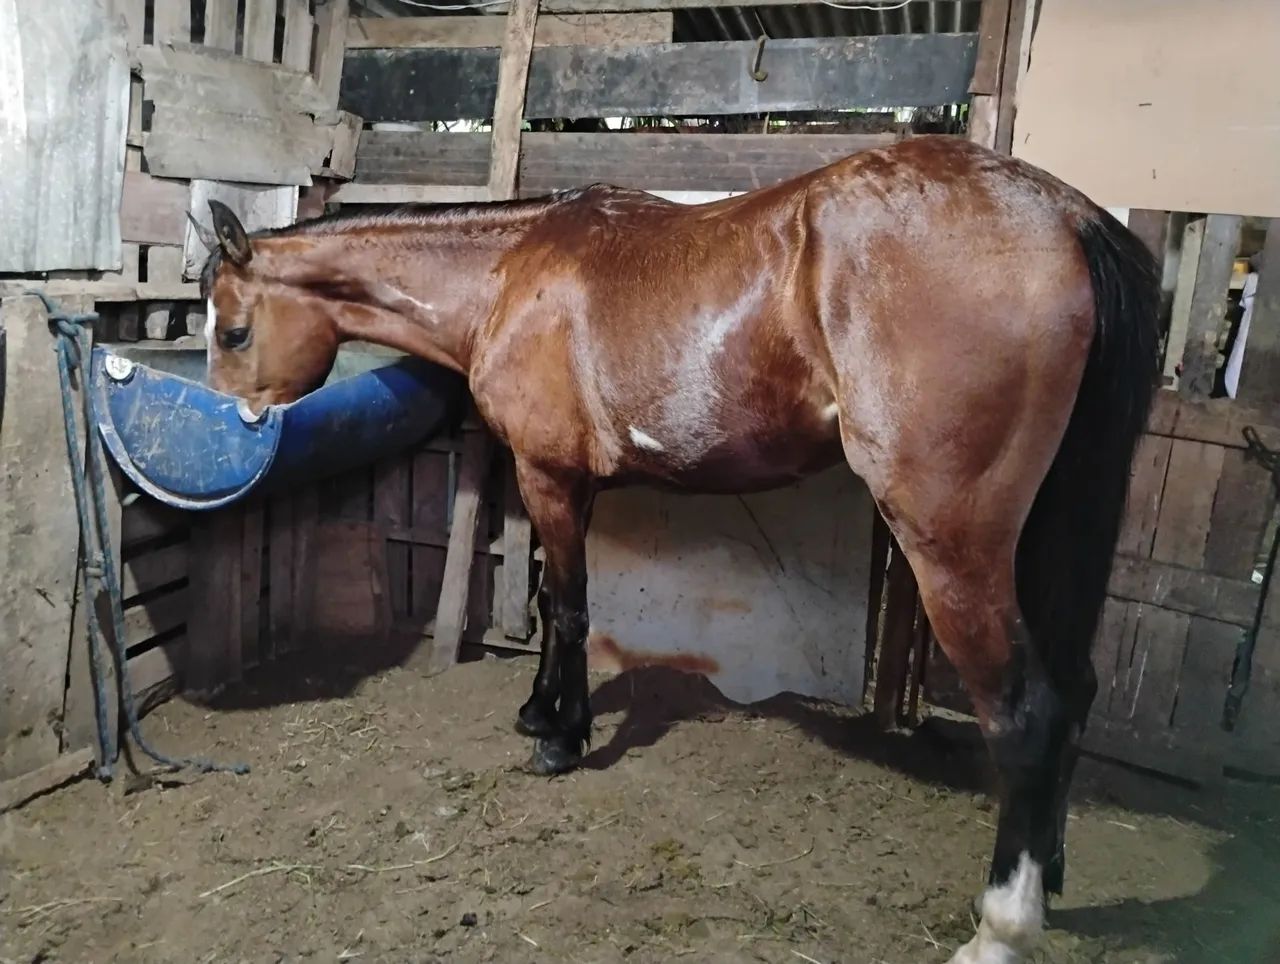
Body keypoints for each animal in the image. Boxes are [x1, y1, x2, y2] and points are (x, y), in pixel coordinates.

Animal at [195, 135, 1160, 964]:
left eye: (233, 331)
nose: (234, 425)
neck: (509, 274)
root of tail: (1063, 213)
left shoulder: (548, 477)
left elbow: (569, 609)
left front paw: (560, 740)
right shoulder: (572, 485)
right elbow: (557, 605)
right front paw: (542, 713)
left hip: (955, 545)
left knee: (1026, 713)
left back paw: (1002, 925)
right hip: (1046, 530)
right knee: (1072, 689)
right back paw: (1051, 873)